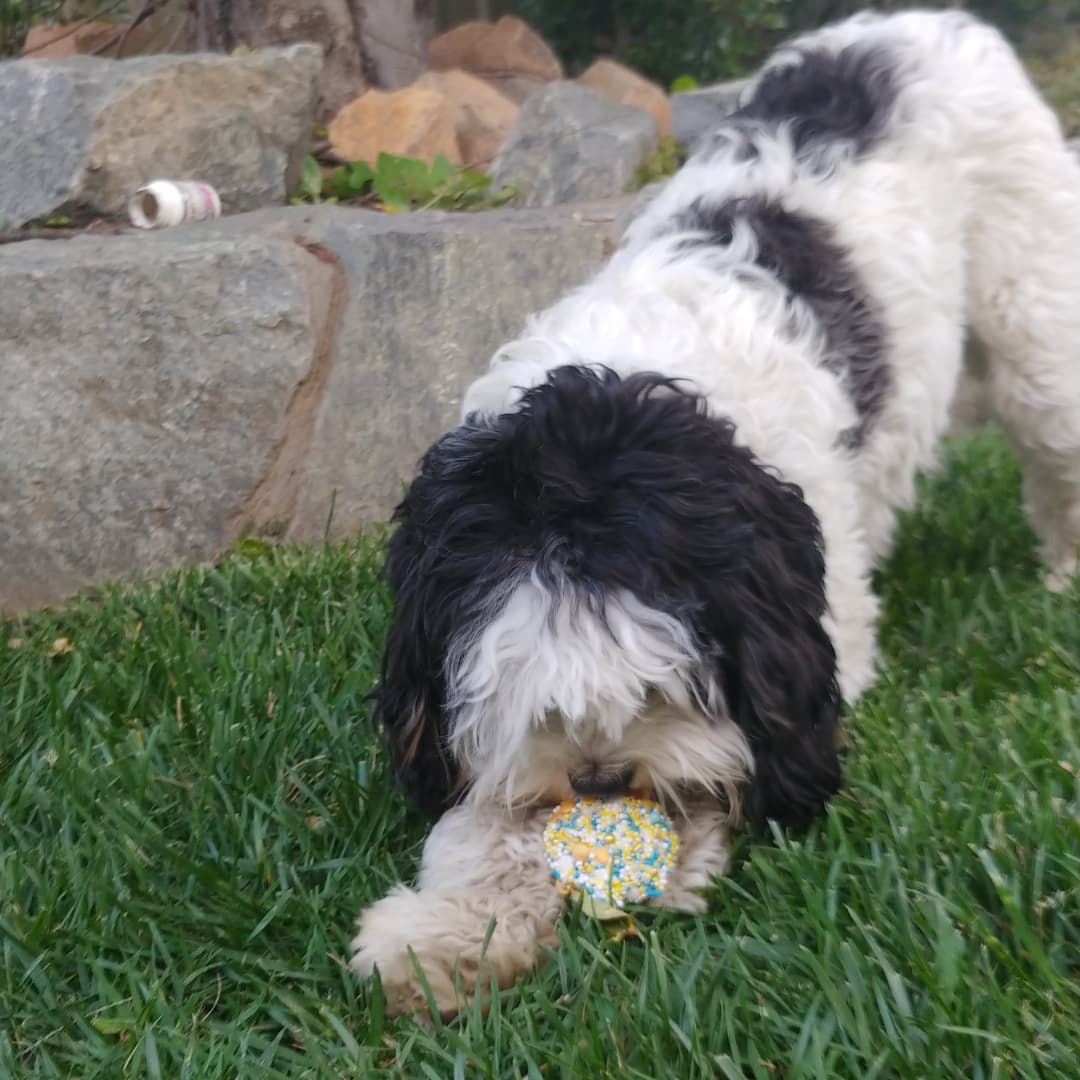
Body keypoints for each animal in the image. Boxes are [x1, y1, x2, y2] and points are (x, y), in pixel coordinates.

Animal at [349, 12, 1080, 1015]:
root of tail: (922, 21)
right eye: (533, 702)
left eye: (662, 687)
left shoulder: (807, 628)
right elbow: (489, 812)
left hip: (1035, 316)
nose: (600, 778)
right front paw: (446, 935)